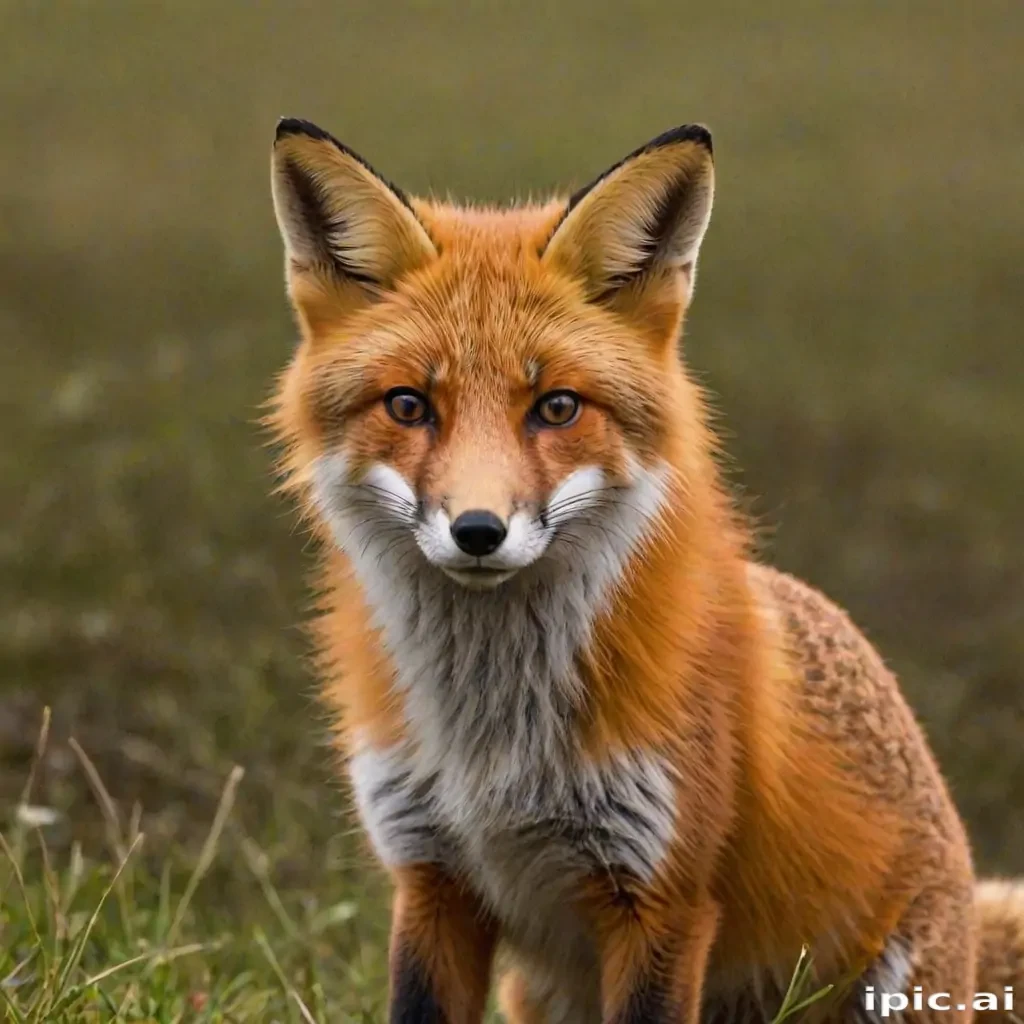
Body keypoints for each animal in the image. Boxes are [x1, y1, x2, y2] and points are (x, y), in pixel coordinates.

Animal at [267, 116, 1024, 1024]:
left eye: (557, 407)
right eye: (409, 405)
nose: (478, 531)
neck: (493, 743)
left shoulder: (662, 899)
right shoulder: (431, 880)